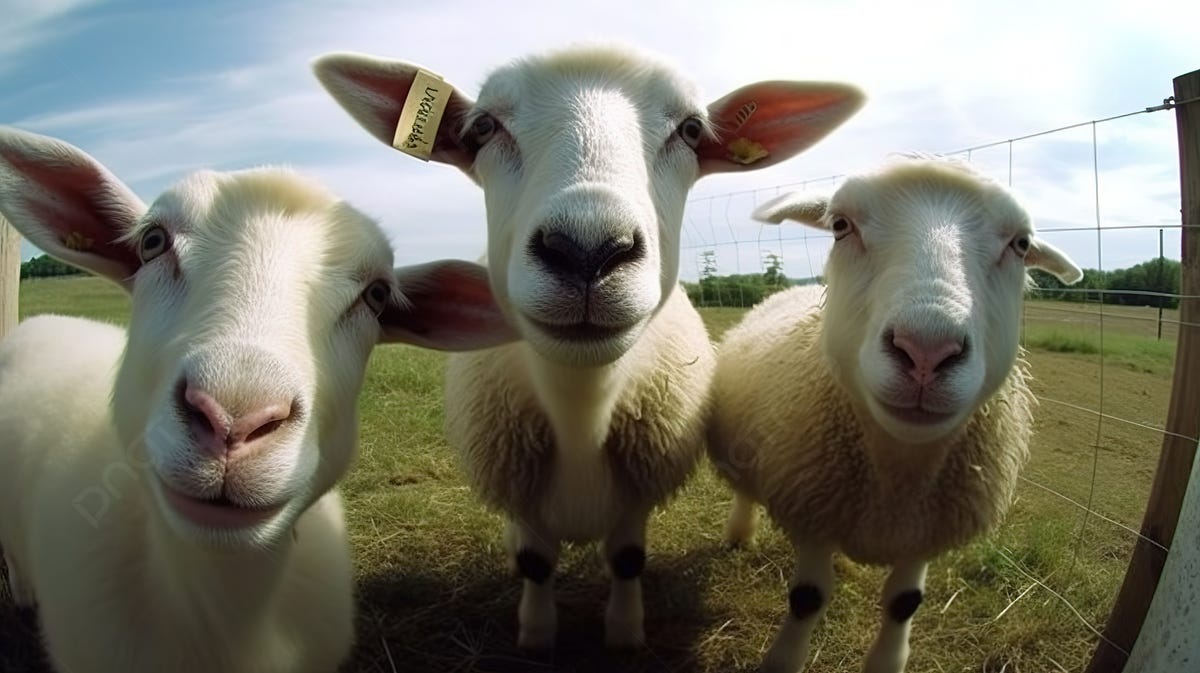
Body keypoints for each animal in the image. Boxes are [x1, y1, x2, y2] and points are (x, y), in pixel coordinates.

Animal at [312, 45, 865, 648]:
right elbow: (535, 563)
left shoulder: (636, 493)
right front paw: (536, 633)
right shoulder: (523, 493)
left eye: (692, 130)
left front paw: (624, 631)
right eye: (482, 127)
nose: (587, 250)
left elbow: (626, 560)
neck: (581, 408)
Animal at [706, 156, 1083, 673]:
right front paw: (782, 660)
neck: (899, 472)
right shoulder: (813, 511)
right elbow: (807, 597)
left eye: (1021, 244)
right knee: (745, 490)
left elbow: (904, 603)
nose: (926, 351)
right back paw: (741, 533)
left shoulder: (925, 531)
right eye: (840, 226)